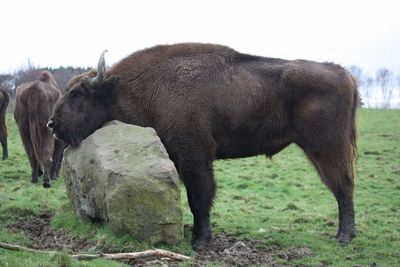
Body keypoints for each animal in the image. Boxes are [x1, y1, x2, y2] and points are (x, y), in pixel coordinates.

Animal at [48, 43, 358, 250]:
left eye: (78, 93)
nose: (52, 124)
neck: (137, 88)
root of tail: (343, 73)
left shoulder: (195, 157)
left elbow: (200, 197)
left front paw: (201, 241)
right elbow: (198, 198)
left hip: (326, 147)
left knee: (342, 186)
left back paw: (344, 238)